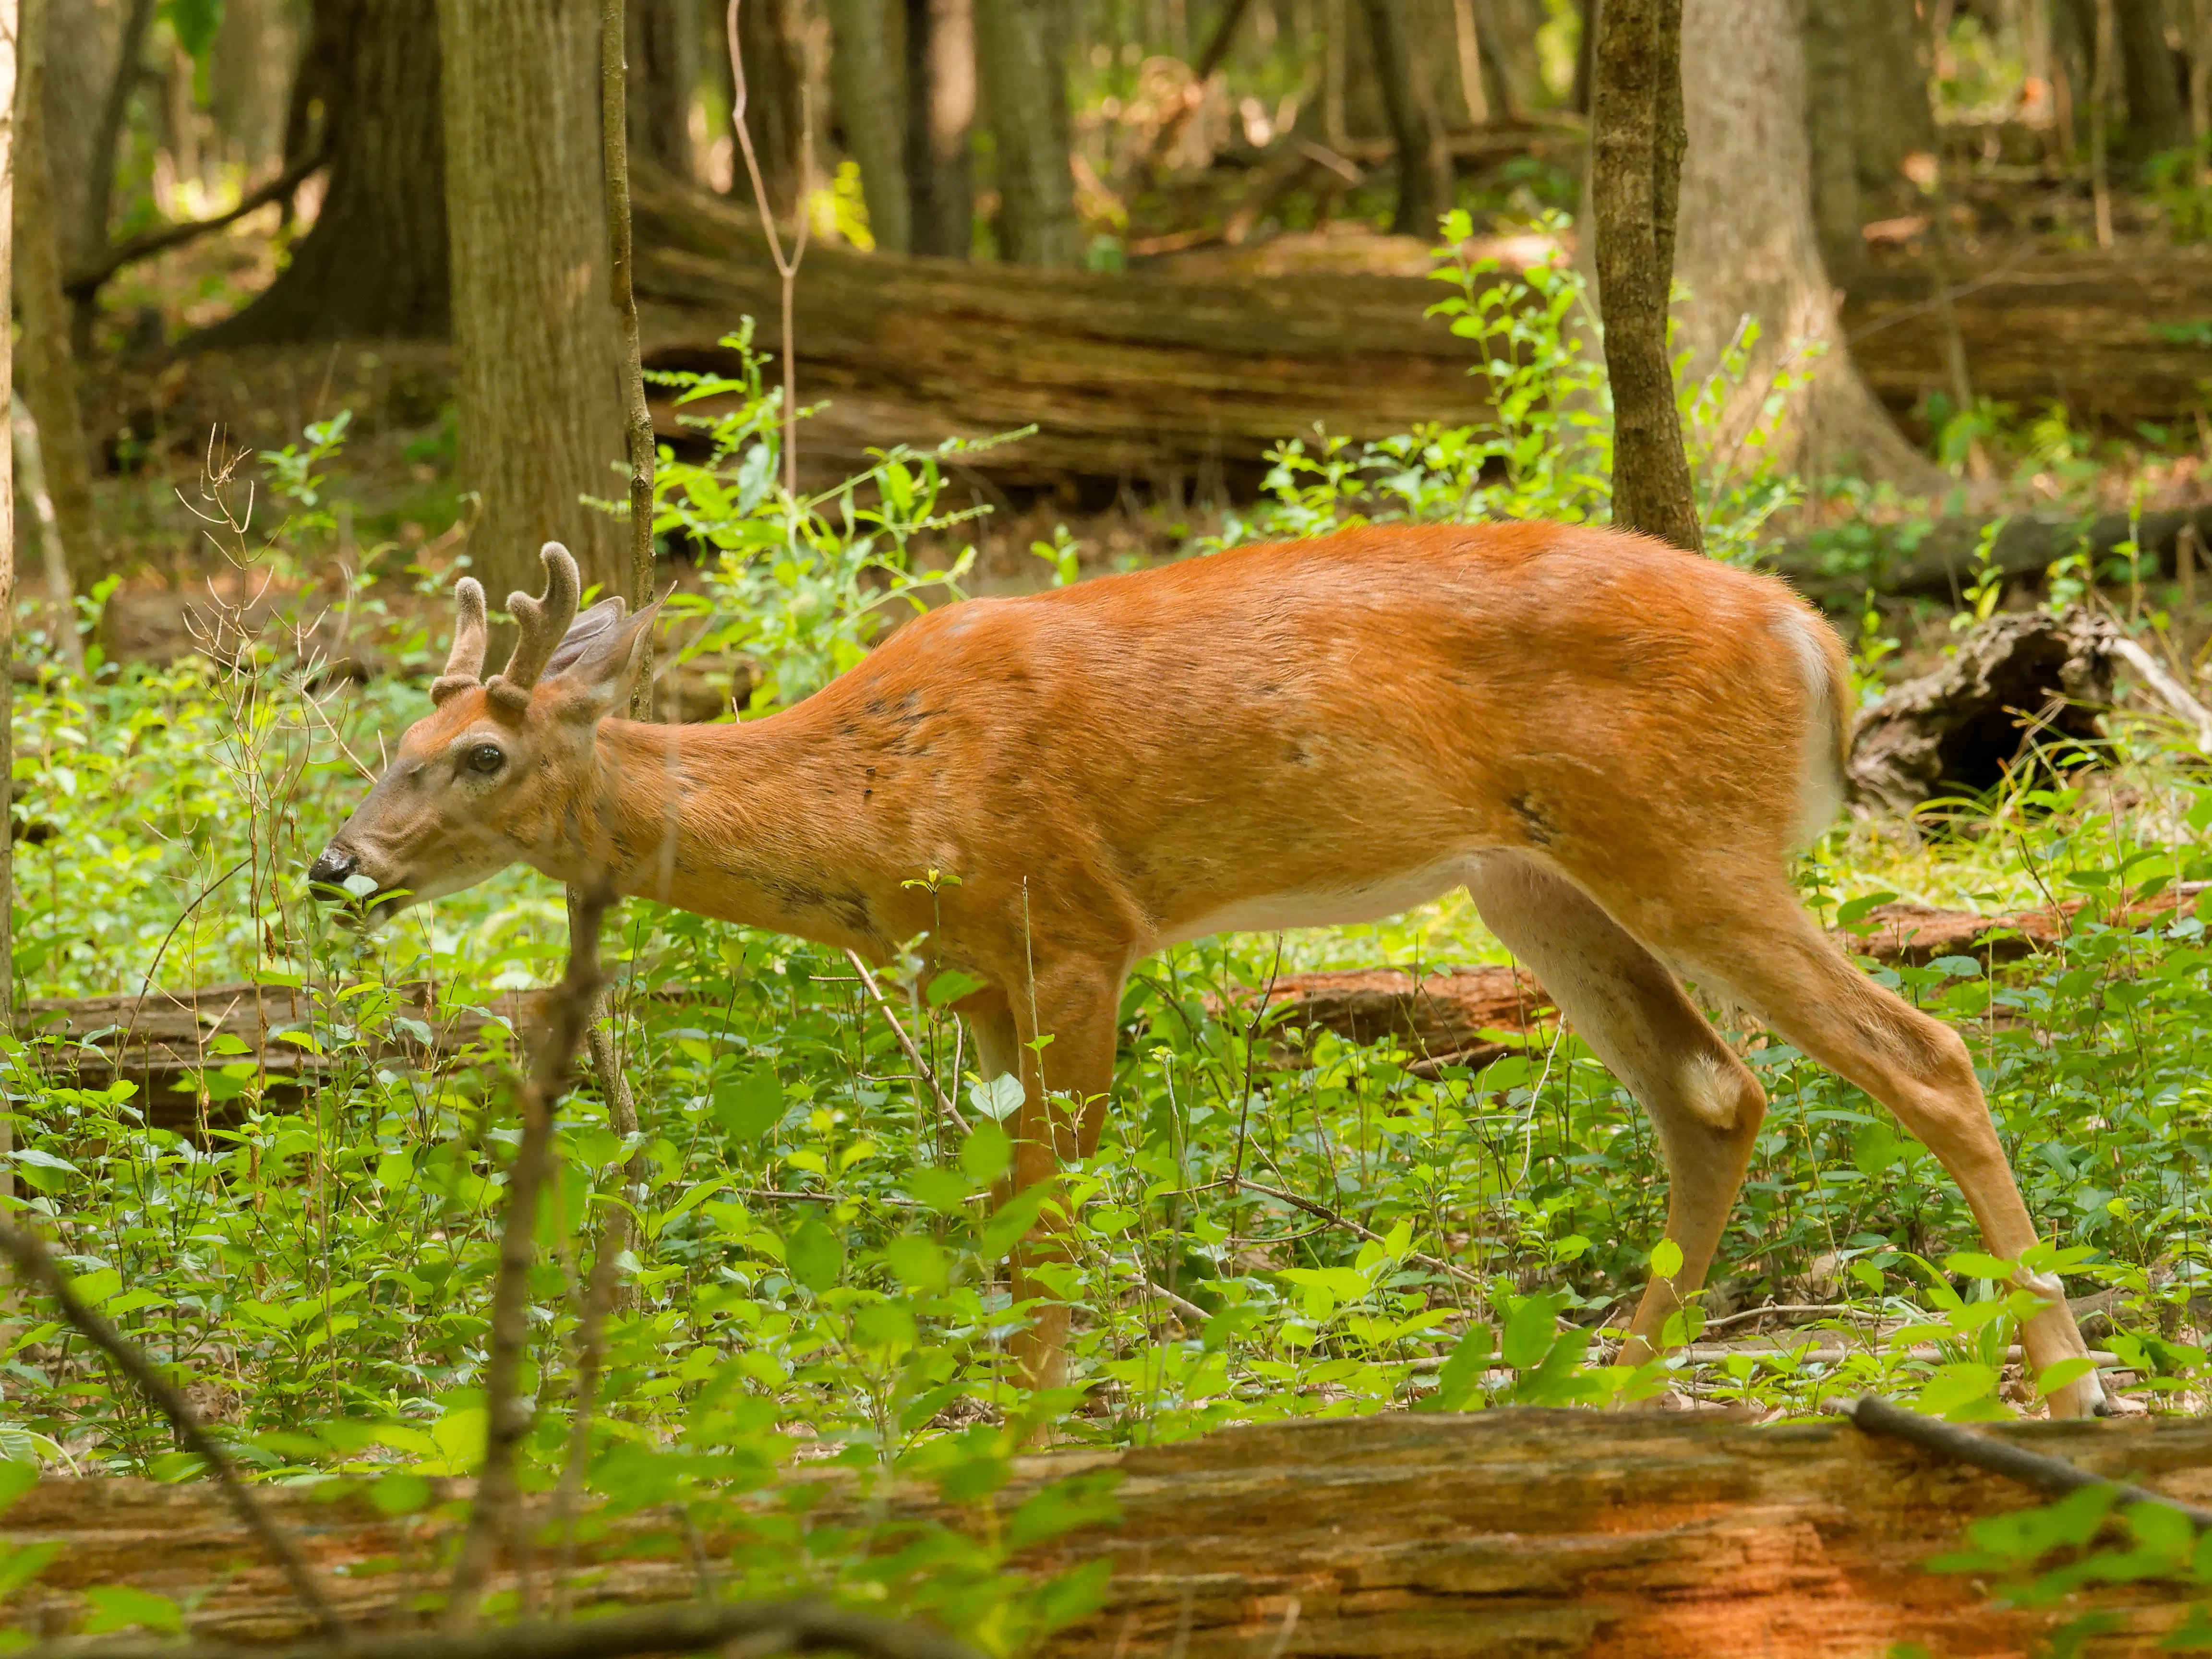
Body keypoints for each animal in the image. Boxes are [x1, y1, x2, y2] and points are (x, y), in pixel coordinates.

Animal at [309, 527, 2110, 1417]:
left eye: (476, 754)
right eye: (389, 743)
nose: (336, 863)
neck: (871, 794)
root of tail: (1811, 640)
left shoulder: (1075, 923)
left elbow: (1049, 1204)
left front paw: (1035, 1414)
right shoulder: (975, 971)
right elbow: (996, 1199)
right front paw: (997, 1392)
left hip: (1686, 841)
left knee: (1919, 1048)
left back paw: (2068, 1383)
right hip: (1529, 874)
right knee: (1711, 1086)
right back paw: (1608, 1374)